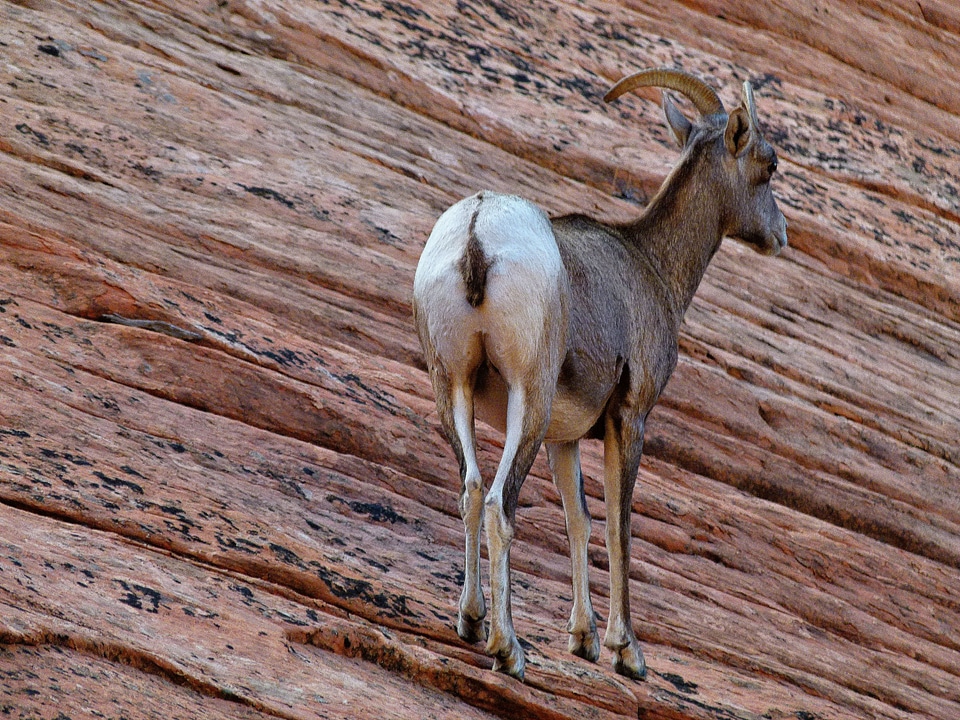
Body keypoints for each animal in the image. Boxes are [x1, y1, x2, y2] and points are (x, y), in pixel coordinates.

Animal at [412, 67, 788, 680]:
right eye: (769, 162)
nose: (780, 233)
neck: (652, 265)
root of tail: (477, 233)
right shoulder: (628, 418)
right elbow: (618, 525)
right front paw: (625, 651)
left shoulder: (564, 439)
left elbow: (579, 521)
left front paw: (583, 639)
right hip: (527, 399)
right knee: (498, 505)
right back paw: (508, 650)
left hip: (454, 390)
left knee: (470, 489)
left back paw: (470, 622)